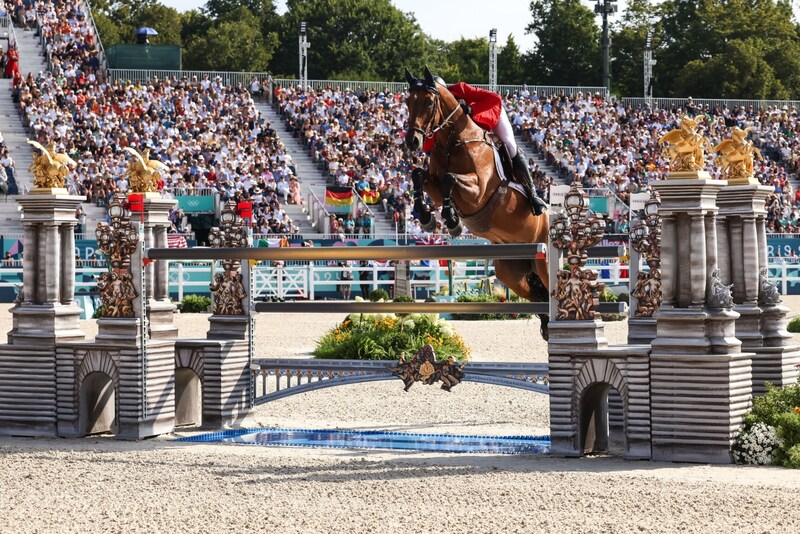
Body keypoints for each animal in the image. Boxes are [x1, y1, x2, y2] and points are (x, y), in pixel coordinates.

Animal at [404, 68, 552, 340]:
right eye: (408, 102)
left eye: (428, 102)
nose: (412, 142)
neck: (454, 140)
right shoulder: (436, 187)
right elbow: (418, 174)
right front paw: (426, 216)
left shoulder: (479, 190)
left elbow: (450, 178)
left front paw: (452, 220)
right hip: (511, 273)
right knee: (538, 295)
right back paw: (547, 326)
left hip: (543, 264)